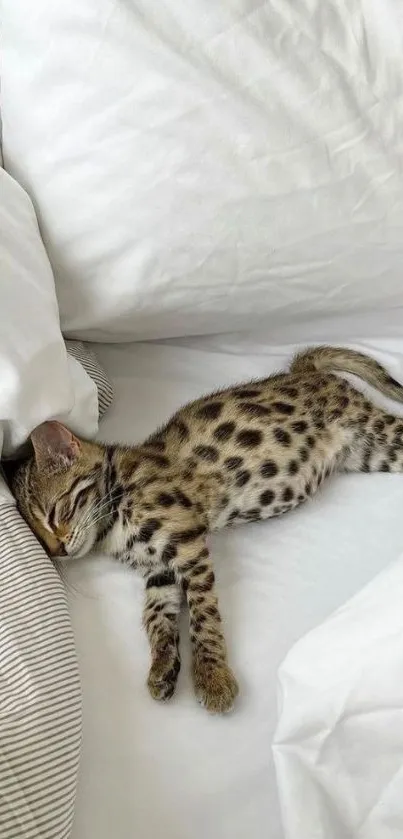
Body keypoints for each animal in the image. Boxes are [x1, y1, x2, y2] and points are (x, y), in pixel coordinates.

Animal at [10, 348, 403, 716]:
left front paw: (212, 677)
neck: (114, 511)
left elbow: (204, 615)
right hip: (369, 454)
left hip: (377, 432)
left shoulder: (187, 545)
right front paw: (162, 666)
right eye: (39, 537)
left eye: (54, 512)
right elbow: (155, 616)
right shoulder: (159, 569)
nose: (57, 550)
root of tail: (302, 372)